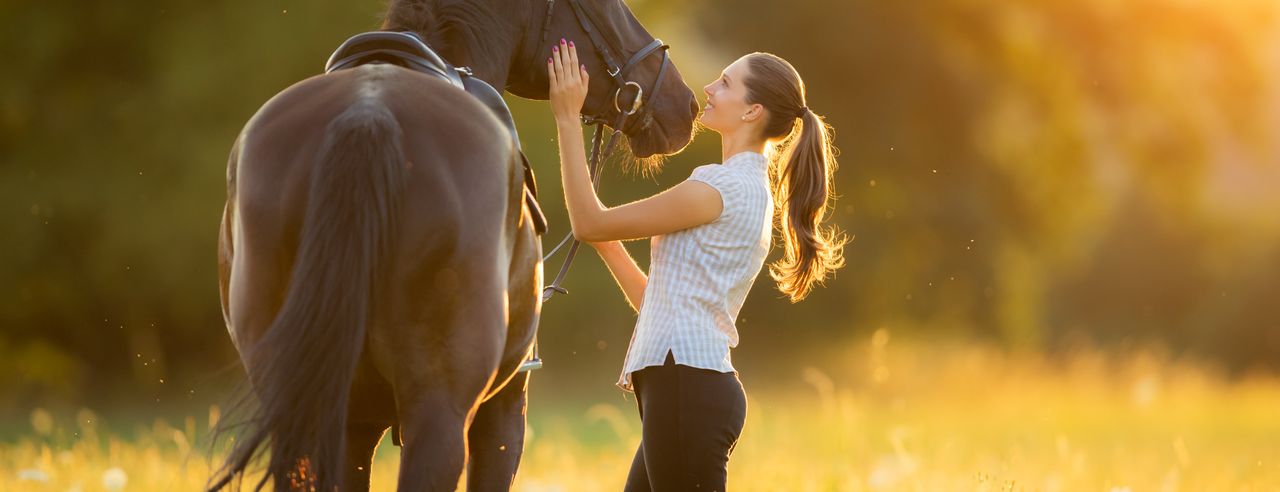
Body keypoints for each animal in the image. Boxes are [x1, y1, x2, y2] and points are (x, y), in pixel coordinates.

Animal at [213, 1, 696, 489]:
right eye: (610, 6)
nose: (686, 105)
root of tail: (367, 115)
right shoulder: (505, 409)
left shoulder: (354, 427)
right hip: (441, 413)